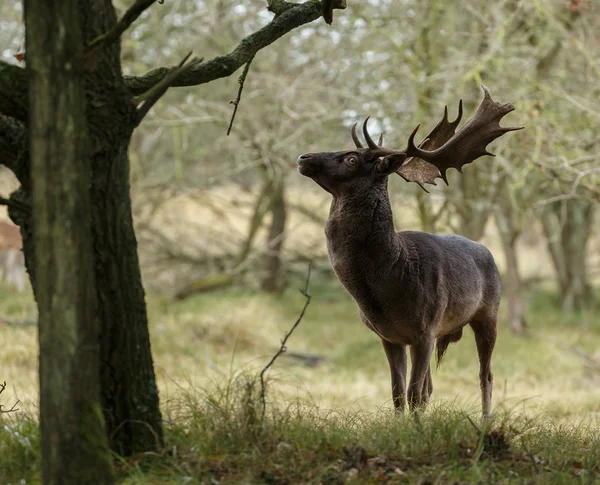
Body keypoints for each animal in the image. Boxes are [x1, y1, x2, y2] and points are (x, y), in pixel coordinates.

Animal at [298, 87, 524, 416]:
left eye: (351, 158)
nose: (304, 157)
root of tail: (488, 252)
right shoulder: (390, 337)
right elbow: (398, 393)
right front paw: (403, 424)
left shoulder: (424, 329)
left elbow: (414, 393)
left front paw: (415, 427)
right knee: (432, 386)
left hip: (488, 314)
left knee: (486, 375)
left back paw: (485, 421)